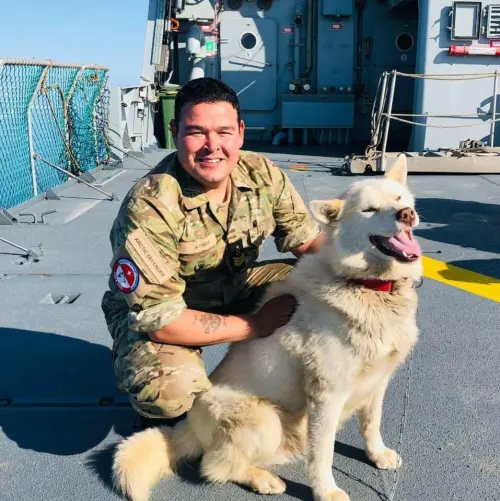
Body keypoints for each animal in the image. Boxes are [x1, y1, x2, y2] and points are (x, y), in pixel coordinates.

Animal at [112, 154, 422, 501]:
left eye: (399, 198)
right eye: (369, 209)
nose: (406, 214)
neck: (369, 286)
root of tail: (187, 426)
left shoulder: (378, 381)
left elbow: (371, 424)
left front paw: (377, 455)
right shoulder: (326, 395)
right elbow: (323, 453)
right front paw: (326, 491)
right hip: (267, 419)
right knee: (213, 466)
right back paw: (262, 479)